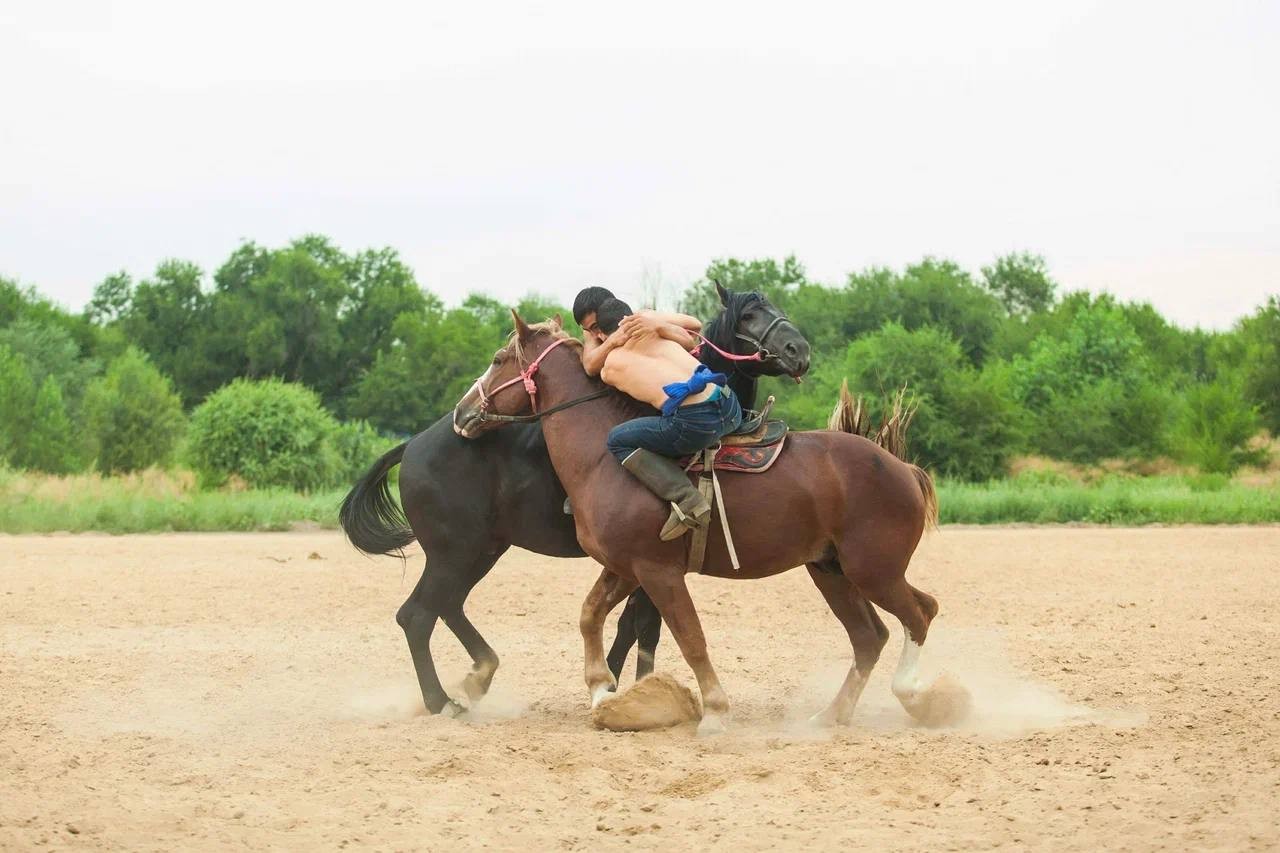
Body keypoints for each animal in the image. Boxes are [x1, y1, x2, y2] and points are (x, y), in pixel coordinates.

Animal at [455, 312, 947, 732]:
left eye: (498, 360)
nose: (461, 413)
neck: (600, 456)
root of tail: (903, 468)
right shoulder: (624, 567)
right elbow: (589, 614)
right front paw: (601, 691)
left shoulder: (658, 571)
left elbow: (690, 637)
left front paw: (714, 710)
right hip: (832, 571)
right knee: (870, 637)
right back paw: (830, 716)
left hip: (874, 571)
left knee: (920, 613)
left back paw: (914, 695)